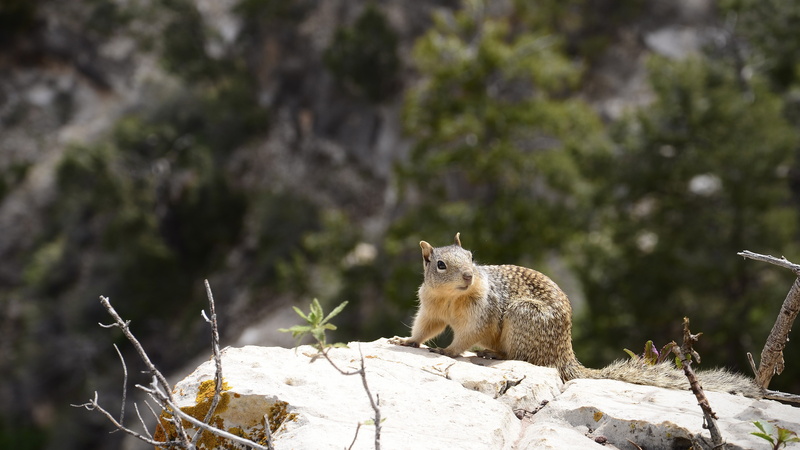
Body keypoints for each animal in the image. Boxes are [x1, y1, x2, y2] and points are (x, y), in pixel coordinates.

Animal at [389, 233, 763, 398]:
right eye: (440, 265)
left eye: (470, 255)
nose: (468, 276)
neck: (454, 297)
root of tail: (565, 354)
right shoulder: (431, 307)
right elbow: (425, 328)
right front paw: (405, 340)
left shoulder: (480, 313)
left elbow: (466, 335)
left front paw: (450, 351)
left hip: (521, 317)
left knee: (525, 357)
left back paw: (493, 353)